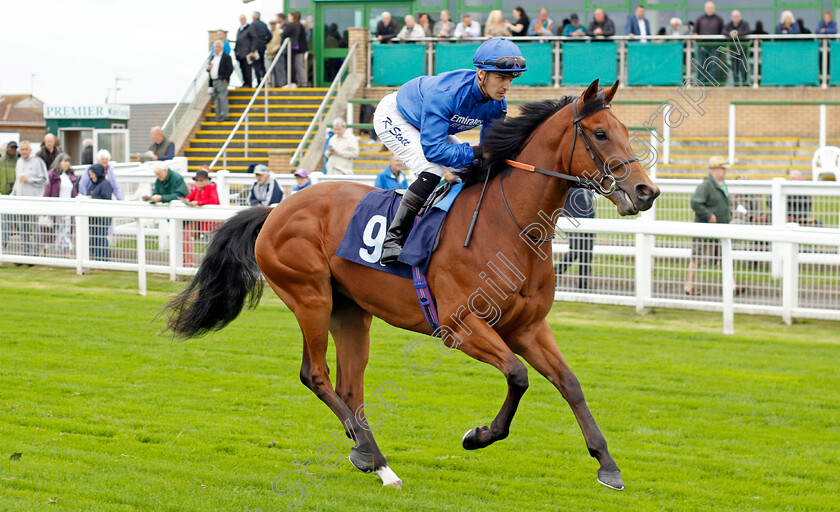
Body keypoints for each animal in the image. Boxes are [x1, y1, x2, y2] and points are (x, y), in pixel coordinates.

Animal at [167, 80, 660, 492]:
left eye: (625, 131)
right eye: (600, 134)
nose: (646, 192)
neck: (510, 227)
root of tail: (277, 209)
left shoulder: (528, 327)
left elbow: (570, 383)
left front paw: (607, 465)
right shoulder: (460, 326)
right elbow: (518, 376)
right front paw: (478, 436)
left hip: (351, 311)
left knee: (350, 386)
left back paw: (370, 455)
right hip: (309, 297)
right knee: (316, 374)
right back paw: (374, 459)